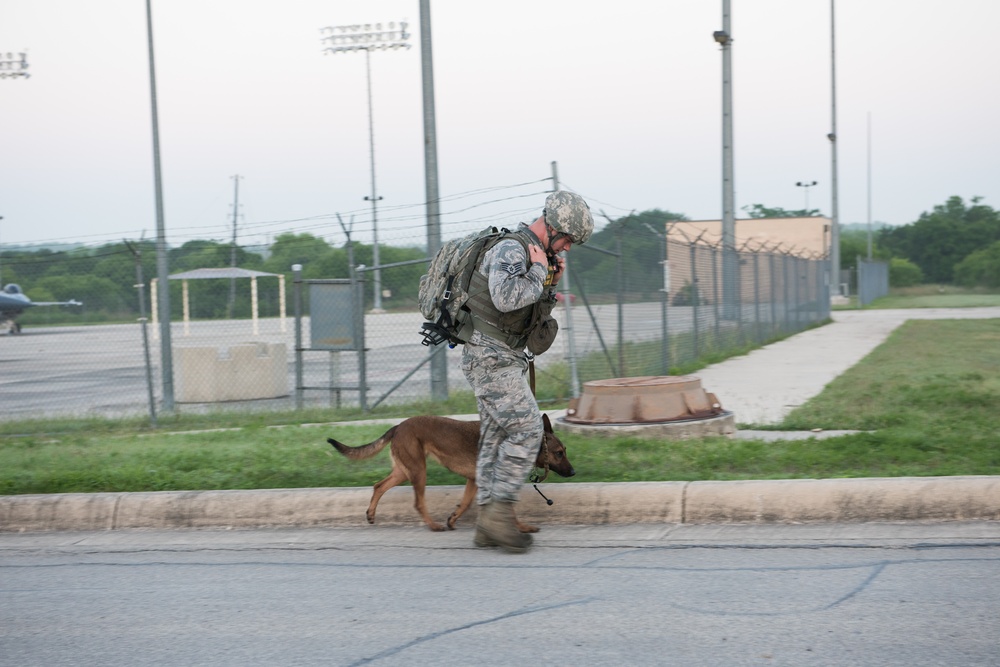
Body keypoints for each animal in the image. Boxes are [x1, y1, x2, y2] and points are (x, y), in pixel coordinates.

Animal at [328, 414, 576, 536]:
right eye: (559, 453)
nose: (574, 472)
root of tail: (398, 426)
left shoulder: (474, 481)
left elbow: (465, 503)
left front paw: (453, 519)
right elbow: (507, 510)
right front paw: (521, 528)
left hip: (404, 471)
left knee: (379, 486)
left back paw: (371, 514)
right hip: (418, 471)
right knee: (418, 502)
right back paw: (433, 526)